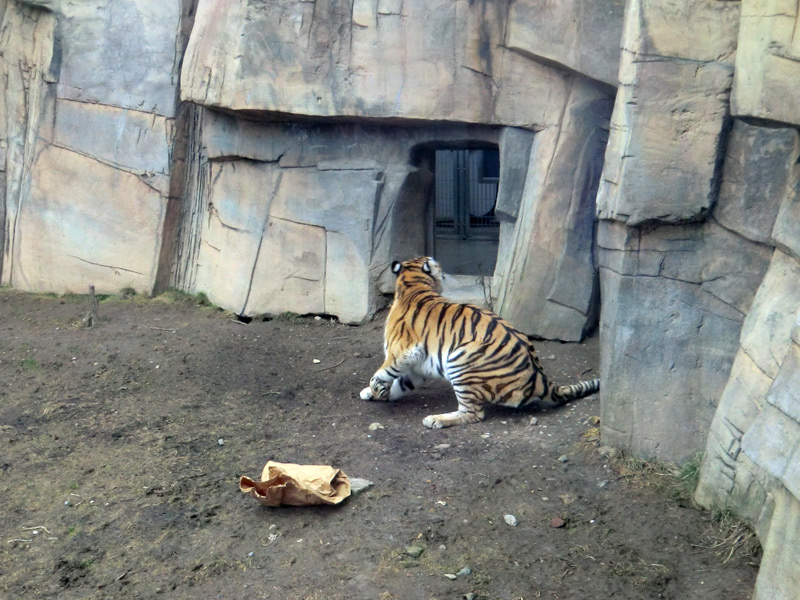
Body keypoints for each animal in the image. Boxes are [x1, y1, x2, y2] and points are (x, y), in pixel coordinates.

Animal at [360, 255, 596, 428]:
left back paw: (436, 420)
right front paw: (375, 393)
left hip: (461, 362)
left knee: (473, 414)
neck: (413, 285)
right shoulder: (417, 365)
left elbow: (381, 373)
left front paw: (377, 390)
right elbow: (400, 382)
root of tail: (541, 378)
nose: (443, 271)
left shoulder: (402, 352)